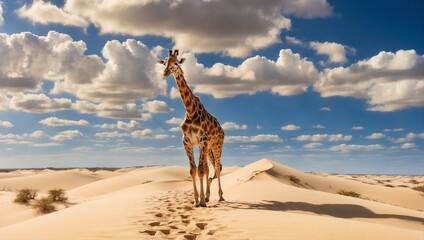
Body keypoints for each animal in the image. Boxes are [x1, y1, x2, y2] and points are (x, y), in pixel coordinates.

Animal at [159, 49, 225, 207]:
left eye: (176, 63)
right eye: (164, 63)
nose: (165, 72)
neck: (190, 110)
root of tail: (222, 130)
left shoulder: (202, 139)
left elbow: (200, 170)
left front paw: (201, 202)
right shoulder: (187, 141)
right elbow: (193, 170)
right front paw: (196, 200)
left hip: (217, 145)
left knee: (217, 167)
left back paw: (220, 196)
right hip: (208, 148)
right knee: (209, 168)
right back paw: (207, 196)